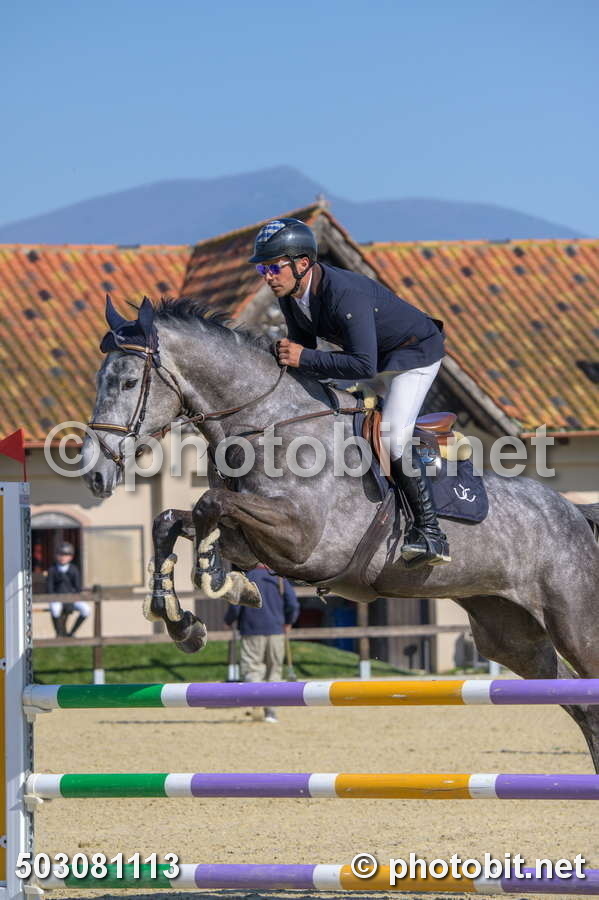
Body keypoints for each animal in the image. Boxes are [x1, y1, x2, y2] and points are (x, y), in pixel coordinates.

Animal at [81, 296, 599, 770]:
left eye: (129, 381)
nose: (94, 474)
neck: (268, 424)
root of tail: (573, 514)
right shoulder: (257, 539)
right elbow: (169, 520)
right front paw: (185, 619)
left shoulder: (302, 539)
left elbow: (211, 505)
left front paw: (214, 574)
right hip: (511, 635)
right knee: (580, 704)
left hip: (574, 624)